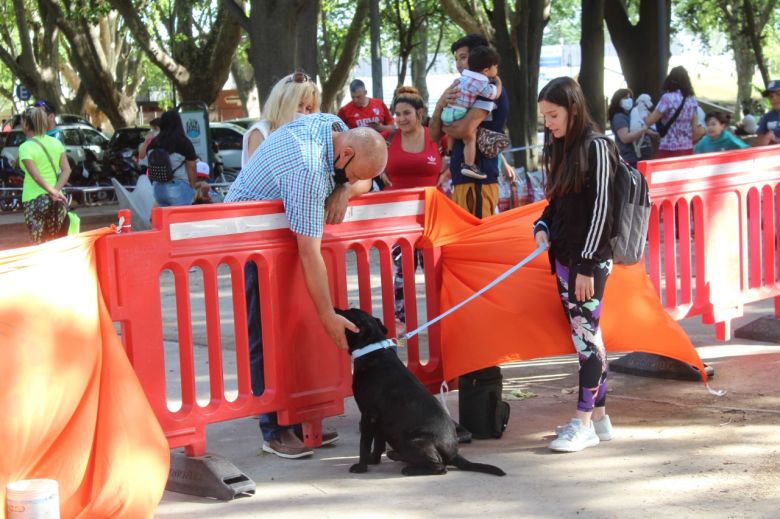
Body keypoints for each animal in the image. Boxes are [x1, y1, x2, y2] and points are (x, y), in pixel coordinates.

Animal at [340, 308, 508, 480]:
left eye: (349, 312)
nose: (337, 309)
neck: (372, 350)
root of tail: (453, 454)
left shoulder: (368, 415)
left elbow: (365, 444)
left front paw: (361, 467)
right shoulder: (379, 420)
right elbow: (378, 444)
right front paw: (373, 461)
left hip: (410, 441)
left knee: (440, 467)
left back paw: (410, 469)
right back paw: (397, 456)